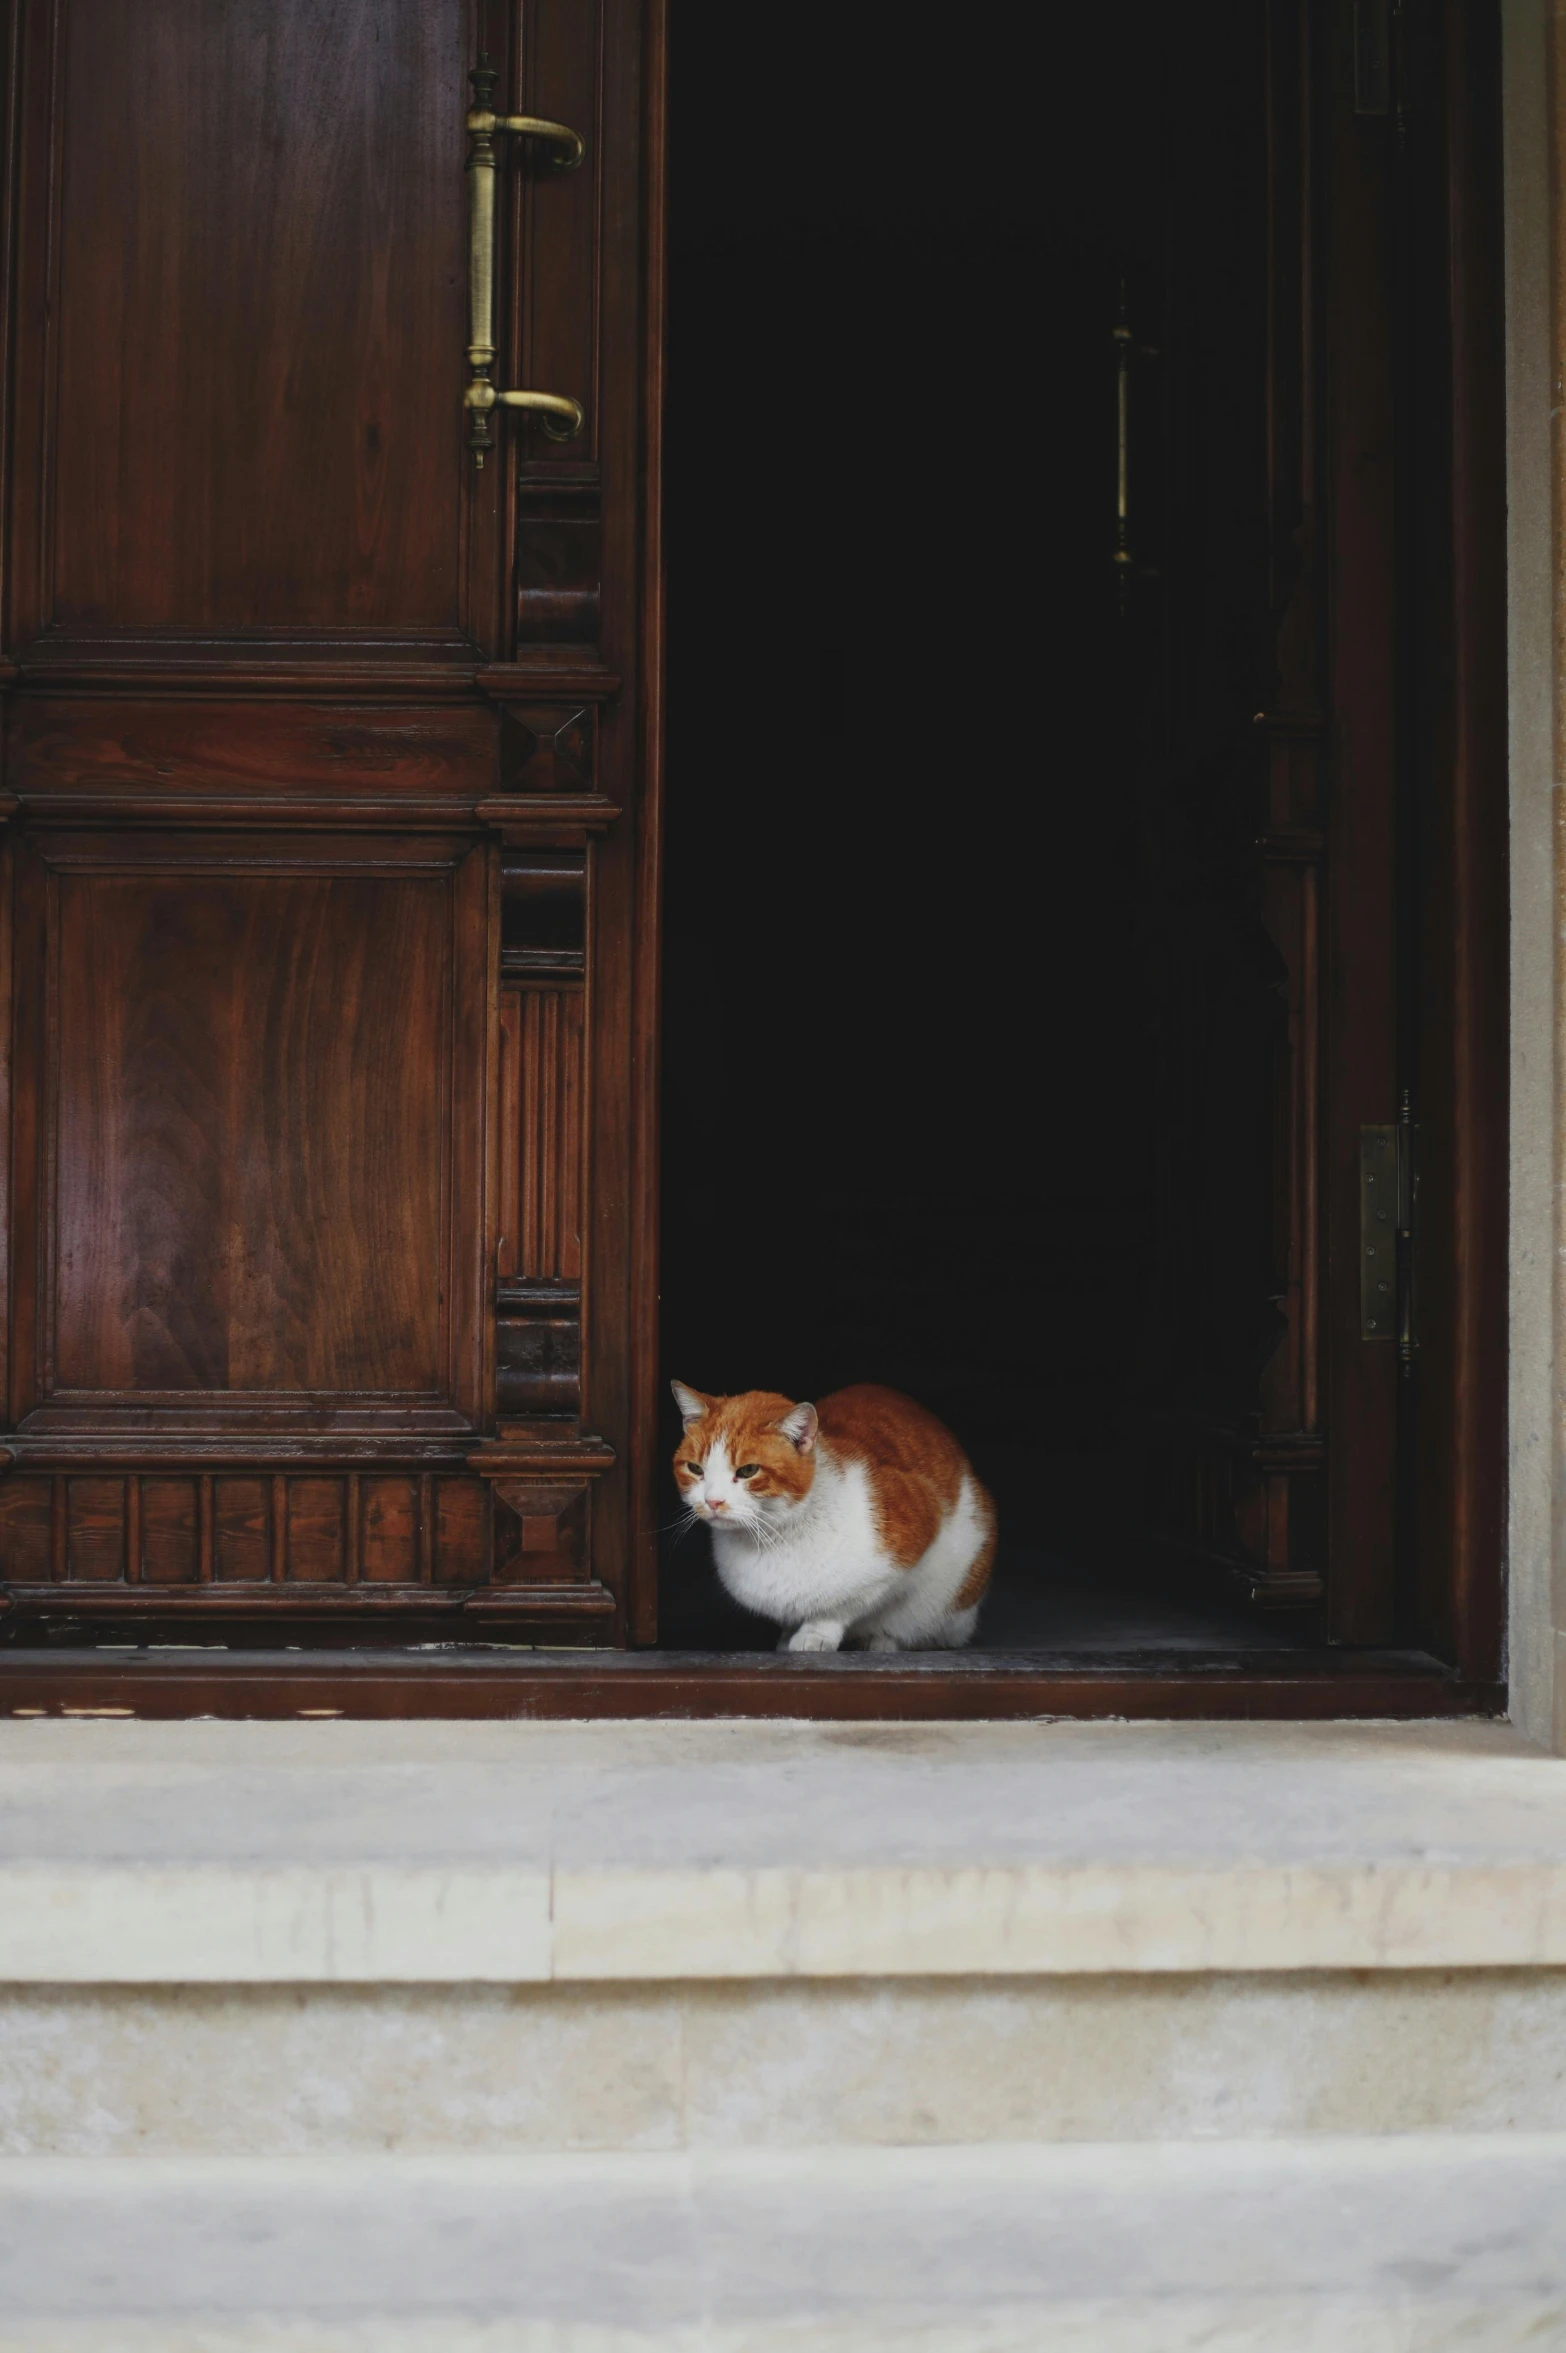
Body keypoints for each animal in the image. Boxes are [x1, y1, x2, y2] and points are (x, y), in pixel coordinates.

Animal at [667, 1374, 987, 1656]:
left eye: (747, 1471)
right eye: (695, 1469)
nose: (712, 1501)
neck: (772, 1537)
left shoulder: (905, 1541)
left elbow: (840, 1605)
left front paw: (815, 1634)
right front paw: (788, 1635)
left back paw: (880, 1641)